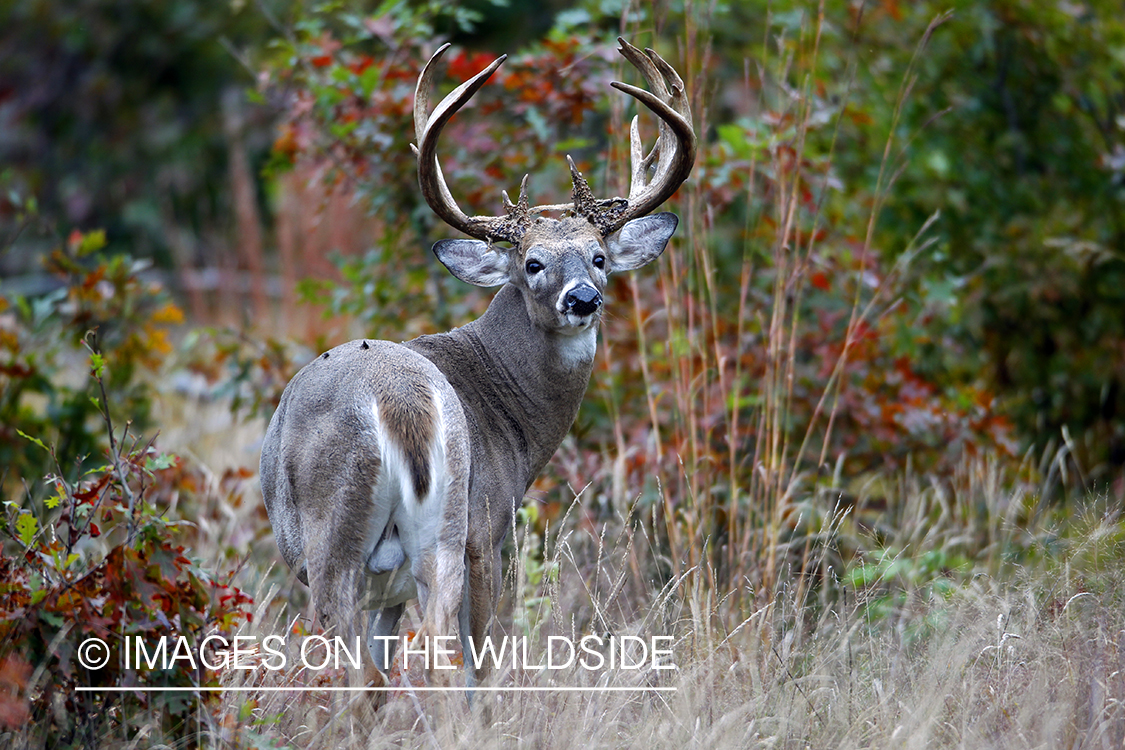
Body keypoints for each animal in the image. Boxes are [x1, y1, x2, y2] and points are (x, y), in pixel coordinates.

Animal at [257, 38, 693, 688]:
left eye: (598, 257)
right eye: (533, 263)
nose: (582, 299)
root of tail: (401, 405)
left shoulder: (454, 548)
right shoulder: (490, 524)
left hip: (374, 539)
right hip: (420, 535)